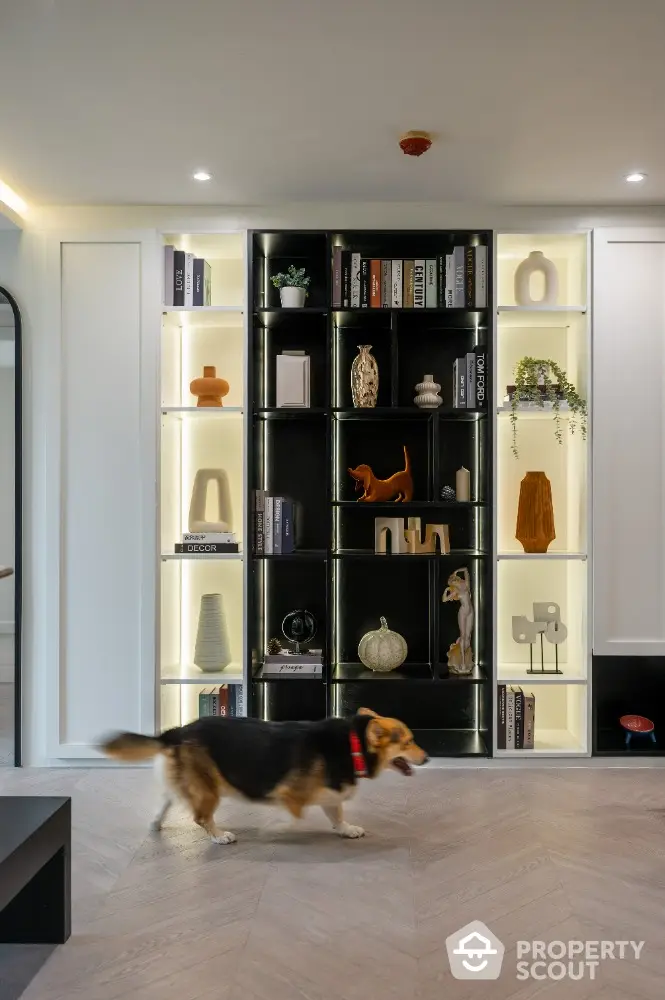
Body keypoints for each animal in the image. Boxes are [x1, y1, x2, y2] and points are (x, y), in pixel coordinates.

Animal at [100, 712, 426, 844]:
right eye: (408, 742)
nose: (427, 759)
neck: (352, 743)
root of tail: (177, 732)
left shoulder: (329, 796)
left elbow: (337, 815)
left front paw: (347, 830)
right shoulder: (289, 794)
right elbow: (294, 817)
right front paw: (274, 829)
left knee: (167, 799)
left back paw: (156, 823)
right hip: (210, 790)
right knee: (201, 817)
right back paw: (221, 836)